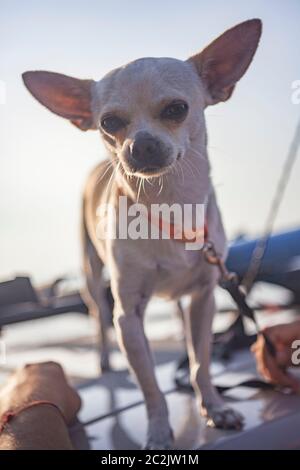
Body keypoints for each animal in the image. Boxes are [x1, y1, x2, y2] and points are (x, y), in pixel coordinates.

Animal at [22, 20, 262, 450]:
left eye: (177, 109)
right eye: (109, 123)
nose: (142, 145)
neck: (170, 203)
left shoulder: (204, 297)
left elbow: (201, 362)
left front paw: (215, 408)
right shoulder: (129, 317)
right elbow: (150, 384)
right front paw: (159, 431)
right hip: (90, 274)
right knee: (97, 314)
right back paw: (103, 358)